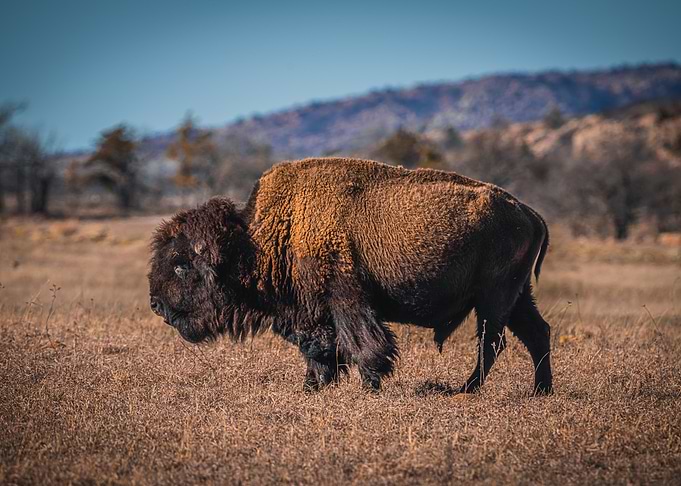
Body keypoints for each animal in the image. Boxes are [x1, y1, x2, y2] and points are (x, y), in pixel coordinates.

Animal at [148, 158, 553, 394]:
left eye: (181, 265)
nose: (156, 304)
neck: (257, 239)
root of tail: (530, 213)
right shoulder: (311, 313)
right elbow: (320, 350)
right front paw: (313, 388)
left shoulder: (346, 300)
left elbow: (363, 345)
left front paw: (370, 386)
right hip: (516, 297)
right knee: (536, 333)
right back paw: (540, 391)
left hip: (494, 298)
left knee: (492, 342)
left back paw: (465, 390)